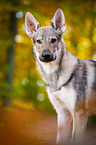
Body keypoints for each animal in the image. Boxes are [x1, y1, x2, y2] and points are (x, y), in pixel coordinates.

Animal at [25, 8, 96, 144]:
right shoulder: (63, 113)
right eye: (38, 41)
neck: (55, 78)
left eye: (53, 40)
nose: (46, 55)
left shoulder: (79, 113)